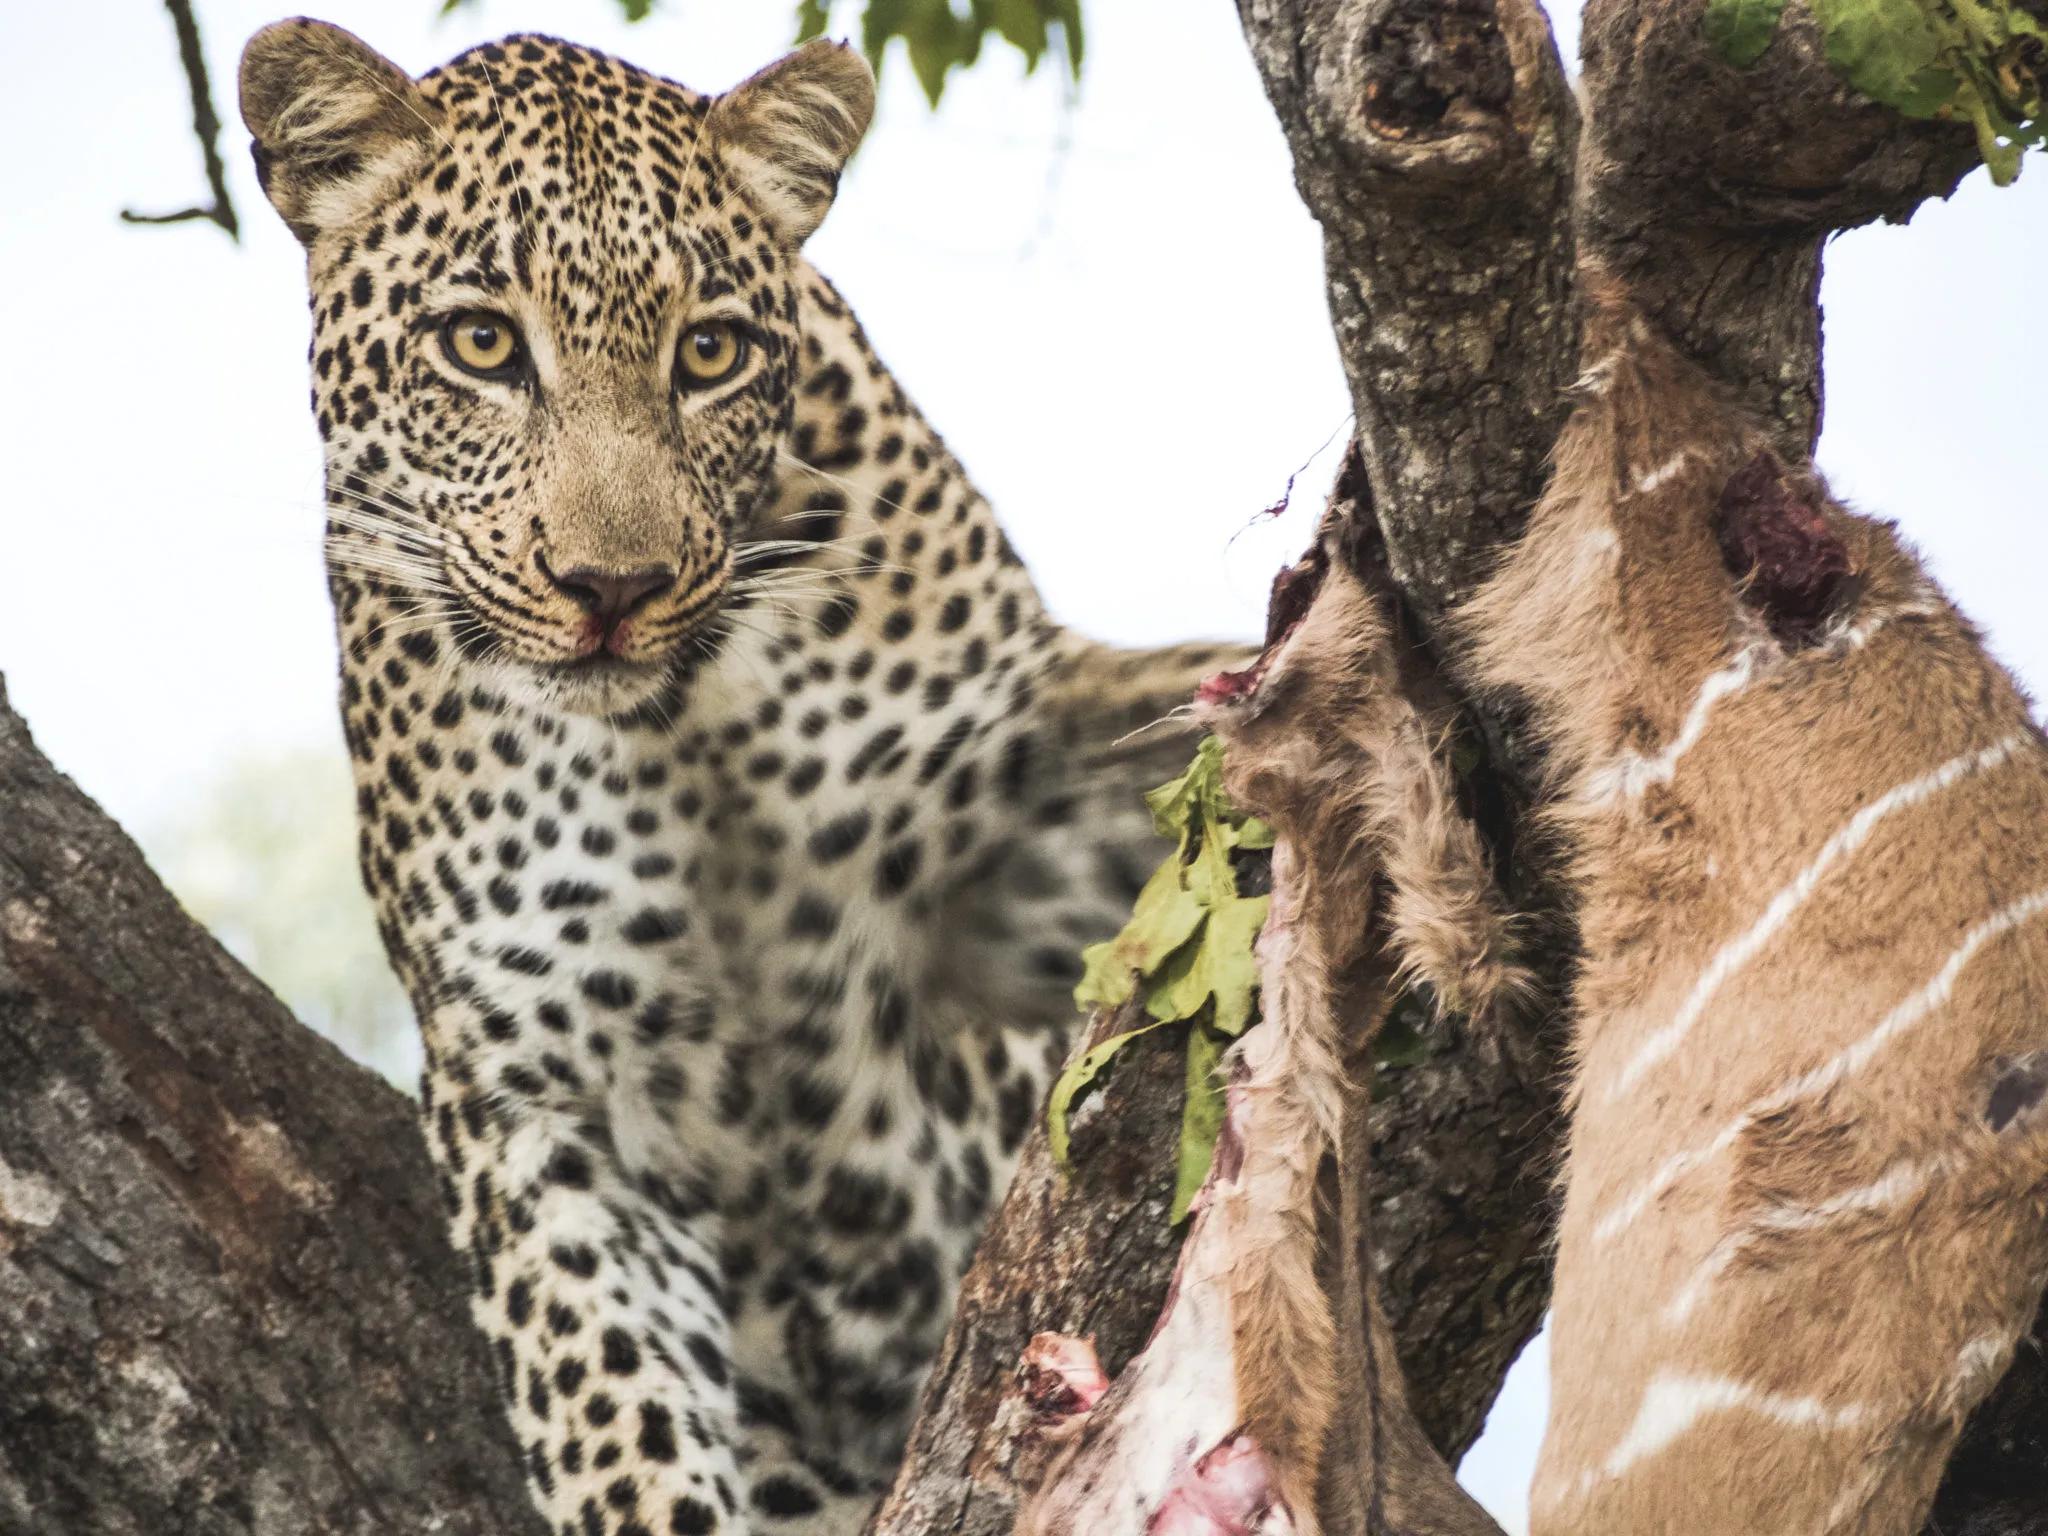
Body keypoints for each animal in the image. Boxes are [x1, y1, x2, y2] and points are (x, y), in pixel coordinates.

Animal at [235, 20, 1228, 1536]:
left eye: (708, 352)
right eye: (480, 342)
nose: (612, 590)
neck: (679, 718)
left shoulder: (1012, 816)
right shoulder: (534, 1092)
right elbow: (616, 1414)